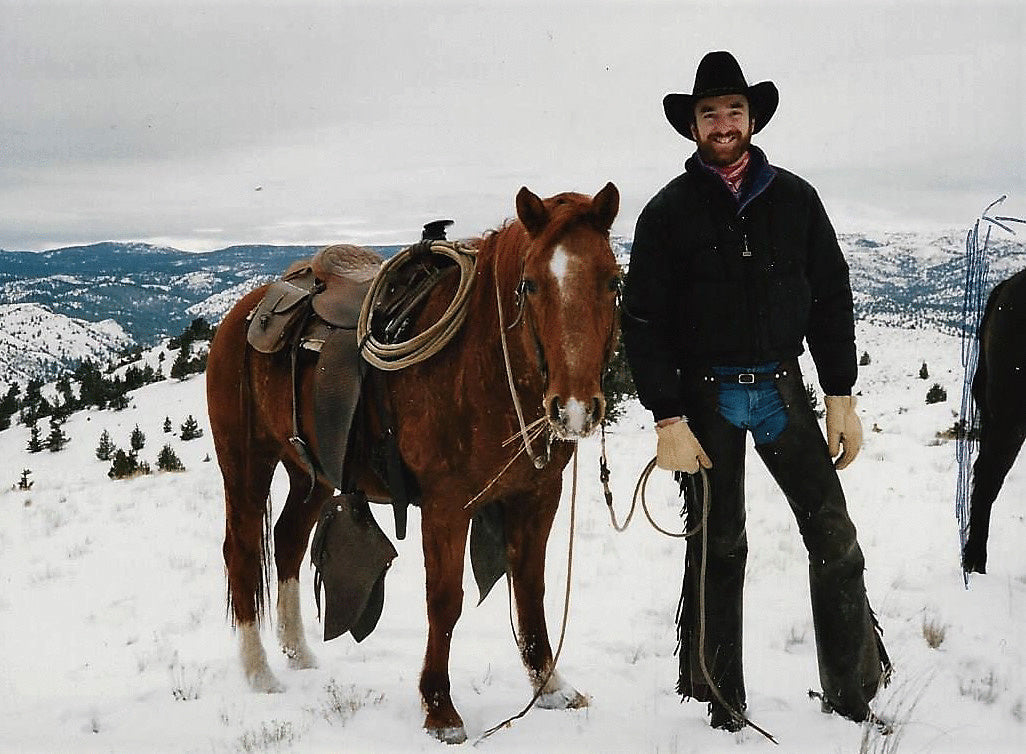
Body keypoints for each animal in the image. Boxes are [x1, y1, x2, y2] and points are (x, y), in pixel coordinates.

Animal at [205, 184, 619, 742]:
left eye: (613, 280)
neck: (479, 364)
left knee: (288, 540)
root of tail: (246, 310)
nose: (574, 409)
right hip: (246, 462)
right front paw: (440, 709)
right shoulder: (446, 506)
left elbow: (531, 589)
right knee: (244, 553)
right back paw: (260, 672)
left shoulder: (538, 497)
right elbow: (444, 601)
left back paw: (299, 655)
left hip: (311, 471)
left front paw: (551, 687)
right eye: (530, 284)